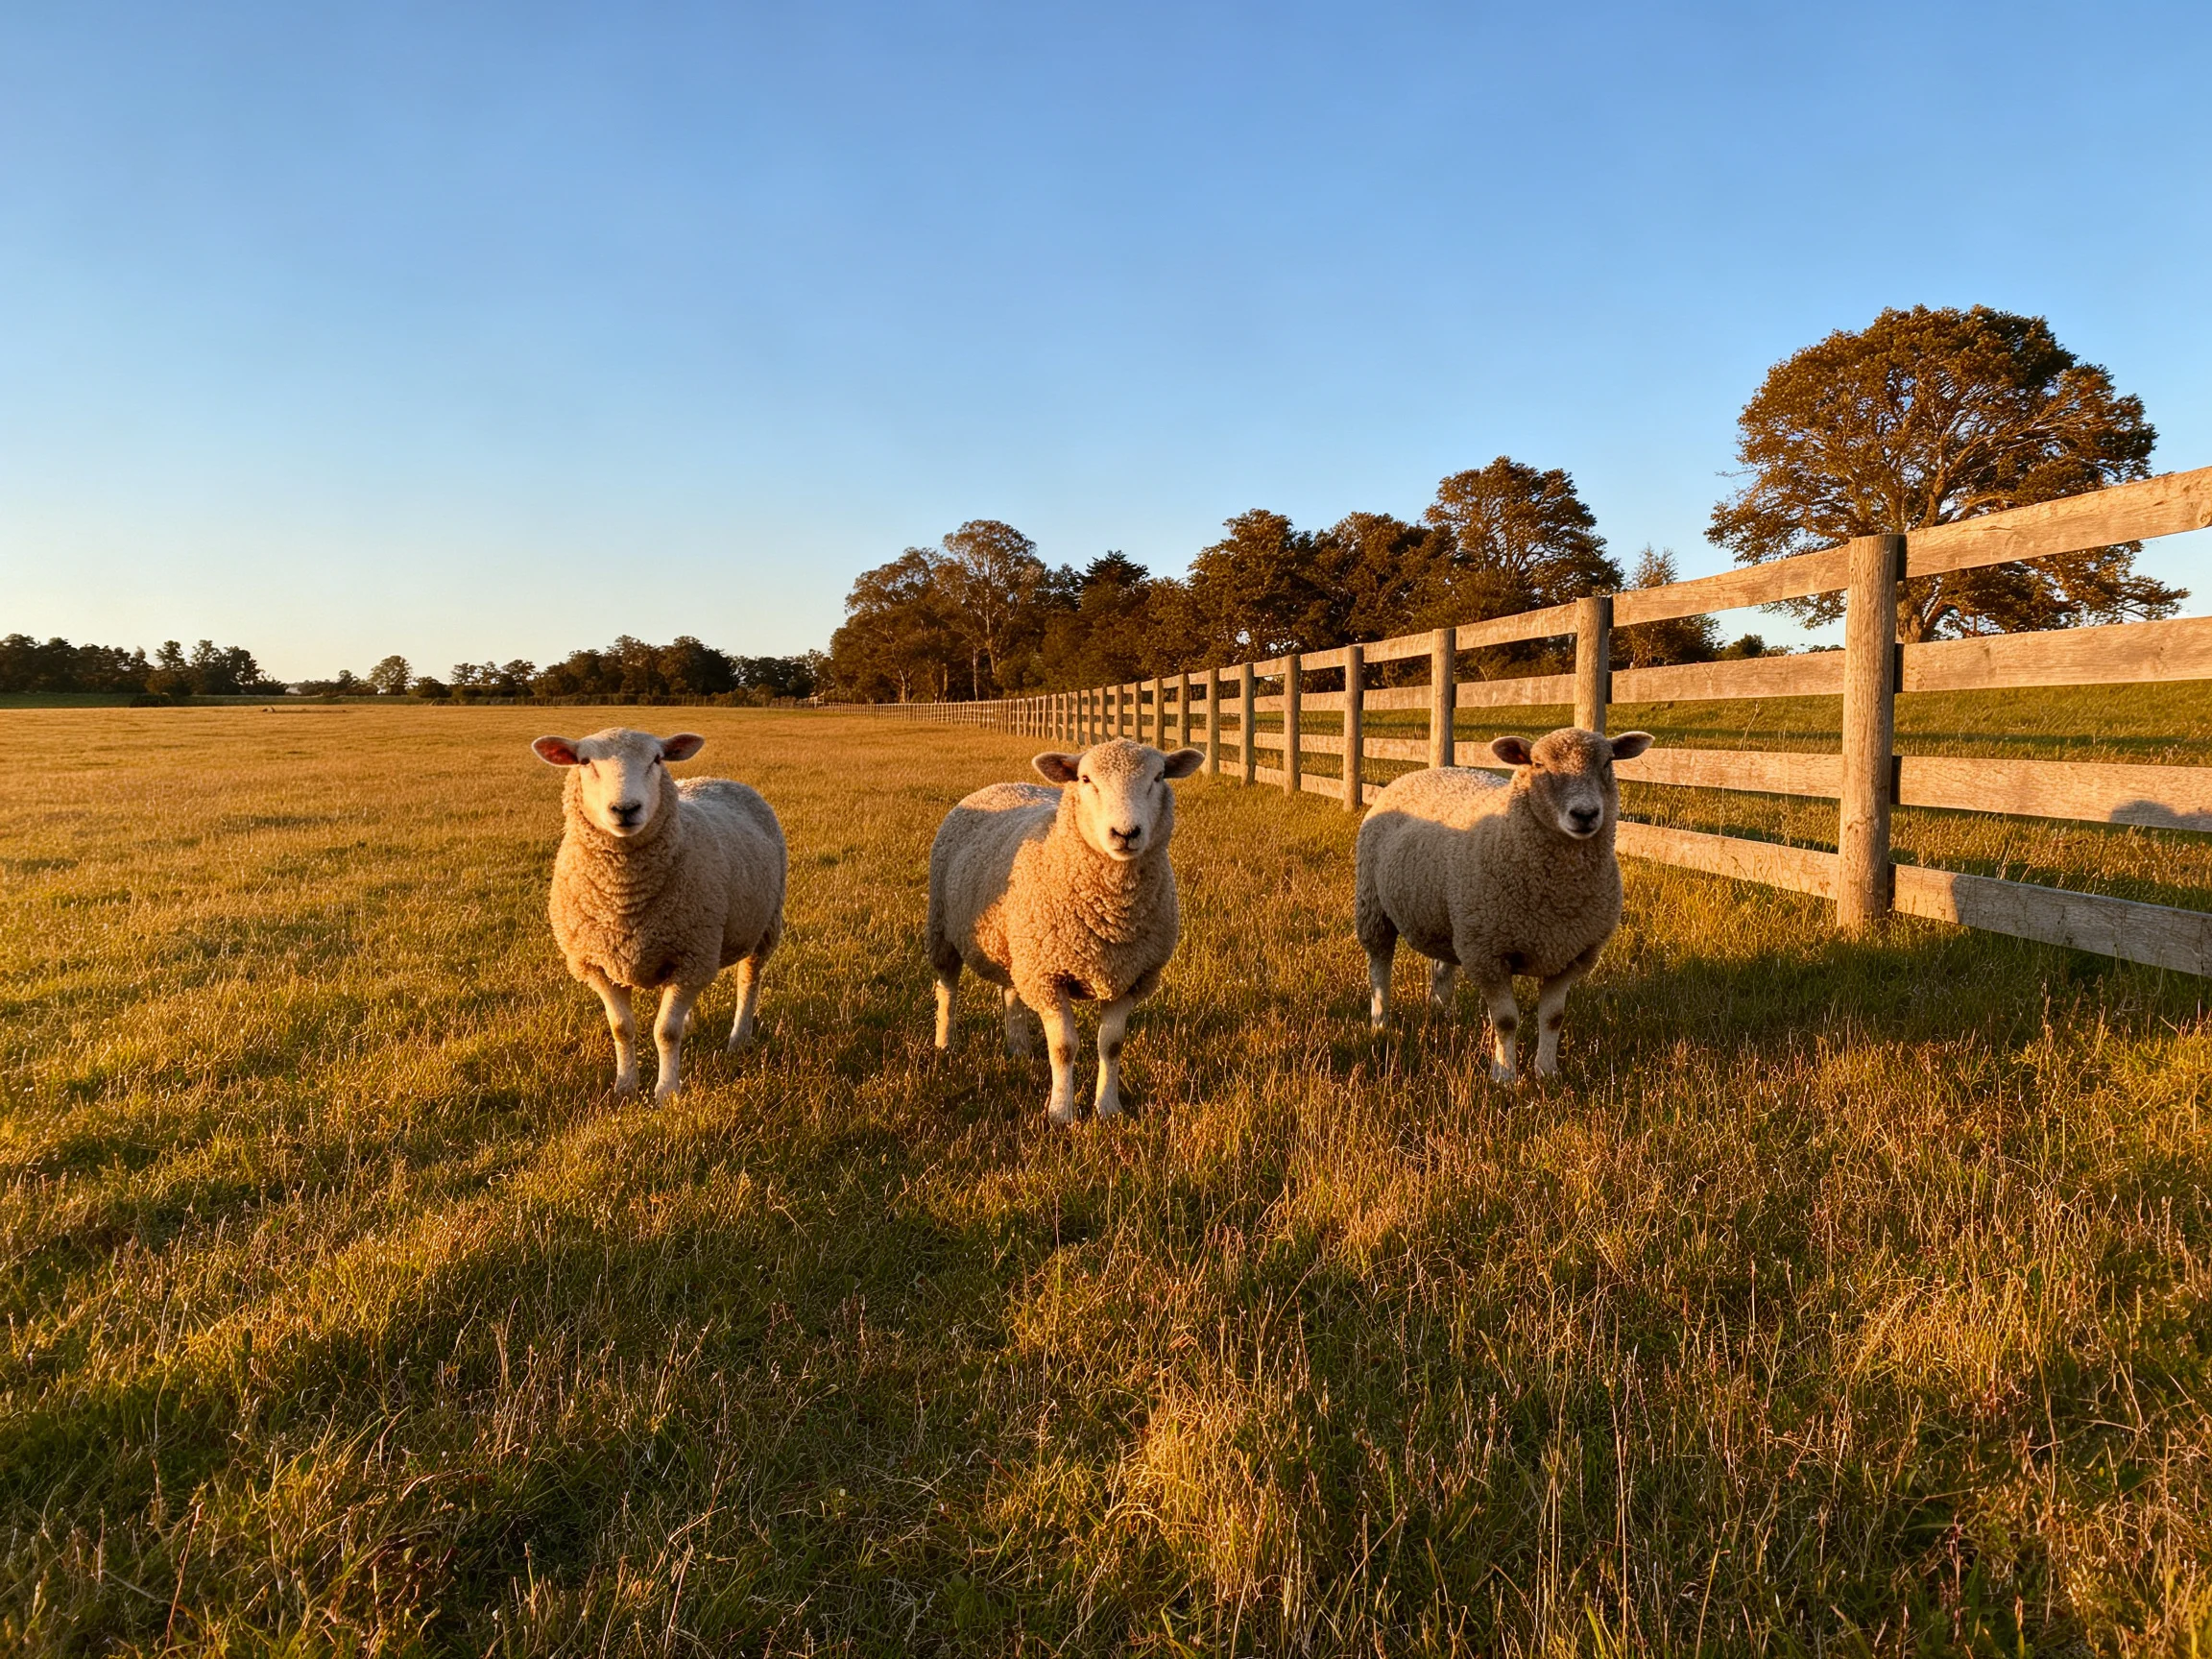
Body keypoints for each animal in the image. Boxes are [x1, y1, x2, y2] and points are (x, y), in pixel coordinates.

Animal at [531, 727, 786, 1100]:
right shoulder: (598, 964)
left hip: (763, 926)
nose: (625, 808)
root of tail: (718, 779)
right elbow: (621, 1027)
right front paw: (625, 1086)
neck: (624, 899)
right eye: (585, 761)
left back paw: (740, 1037)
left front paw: (667, 1092)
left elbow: (666, 1031)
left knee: (748, 980)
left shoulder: (691, 958)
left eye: (656, 759)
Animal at [927, 738, 1204, 1125]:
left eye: (1159, 776)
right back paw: (945, 1042)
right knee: (947, 989)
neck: (1112, 914)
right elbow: (1063, 1048)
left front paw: (1108, 1108)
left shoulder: (1129, 977)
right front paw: (1060, 1113)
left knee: (1011, 991)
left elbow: (1111, 1045)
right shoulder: (1048, 976)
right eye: (1085, 779)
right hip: (943, 930)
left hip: (1017, 945)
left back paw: (1019, 1048)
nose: (1126, 834)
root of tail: (1001, 785)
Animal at [1356, 726, 1652, 1082]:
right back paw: (1381, 1022)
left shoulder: (1570, 955)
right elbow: (1506, 1020)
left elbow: (1553, 1017)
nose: (1585, 814)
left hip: (1450, 918)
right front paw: (1505, 1076)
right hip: (1373, 905)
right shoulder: (1487, 955)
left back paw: (1442, 1013)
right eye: (1538, 764)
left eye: (1608, 762)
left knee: (1442, 965)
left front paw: (1547, 1072)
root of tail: (1421, 773)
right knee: (1379, 965)